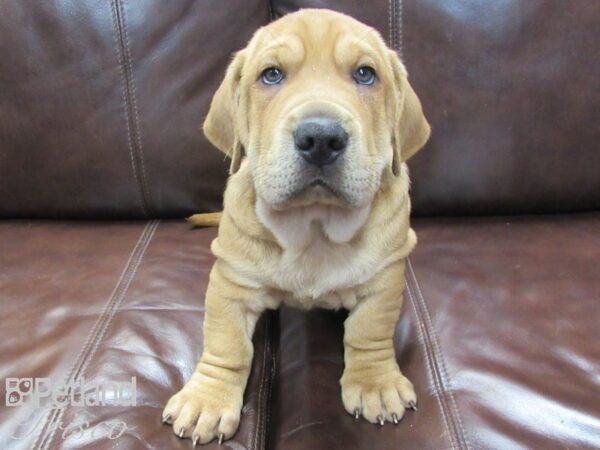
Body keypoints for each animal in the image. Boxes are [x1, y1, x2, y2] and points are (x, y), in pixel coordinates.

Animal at [162, 8, 428, 444]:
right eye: (271, 75)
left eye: (365, 74)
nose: (321, 138)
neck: (314, 225)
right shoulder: (230, 283)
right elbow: (226, 345)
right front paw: (208, 399)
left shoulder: (384, 281)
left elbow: (368, 333)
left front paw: (375, 383)